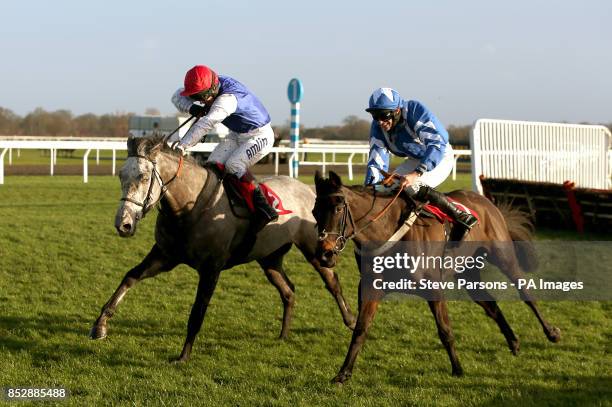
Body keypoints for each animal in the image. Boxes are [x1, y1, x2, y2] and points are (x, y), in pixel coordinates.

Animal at [91, 136, 358, 364]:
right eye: (121, 175)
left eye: (144, 177)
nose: (123, 224)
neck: (192, 206)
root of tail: (307, 189)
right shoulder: (165, 255)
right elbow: (130, 277)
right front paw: (100, 325)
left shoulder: (212, 267)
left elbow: (197, 311)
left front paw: (183, 356)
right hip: (269, 257)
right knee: (288, 290)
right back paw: (283, 334)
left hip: (315, 249)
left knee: (332, 282)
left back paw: (351, 320)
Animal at [314, 172, 560, 386]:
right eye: (315, 212)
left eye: (338, 209)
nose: (324, 255)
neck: (388, 232)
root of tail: (485, 202)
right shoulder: (371, 288)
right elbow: (361, 329)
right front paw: (343, 373)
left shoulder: (433, 287)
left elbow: (445, 330)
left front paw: (458, 369)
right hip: (468, 273)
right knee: (490, 305)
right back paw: (514, 342)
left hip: (503, 257)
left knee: (526, 293)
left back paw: (551, 332)